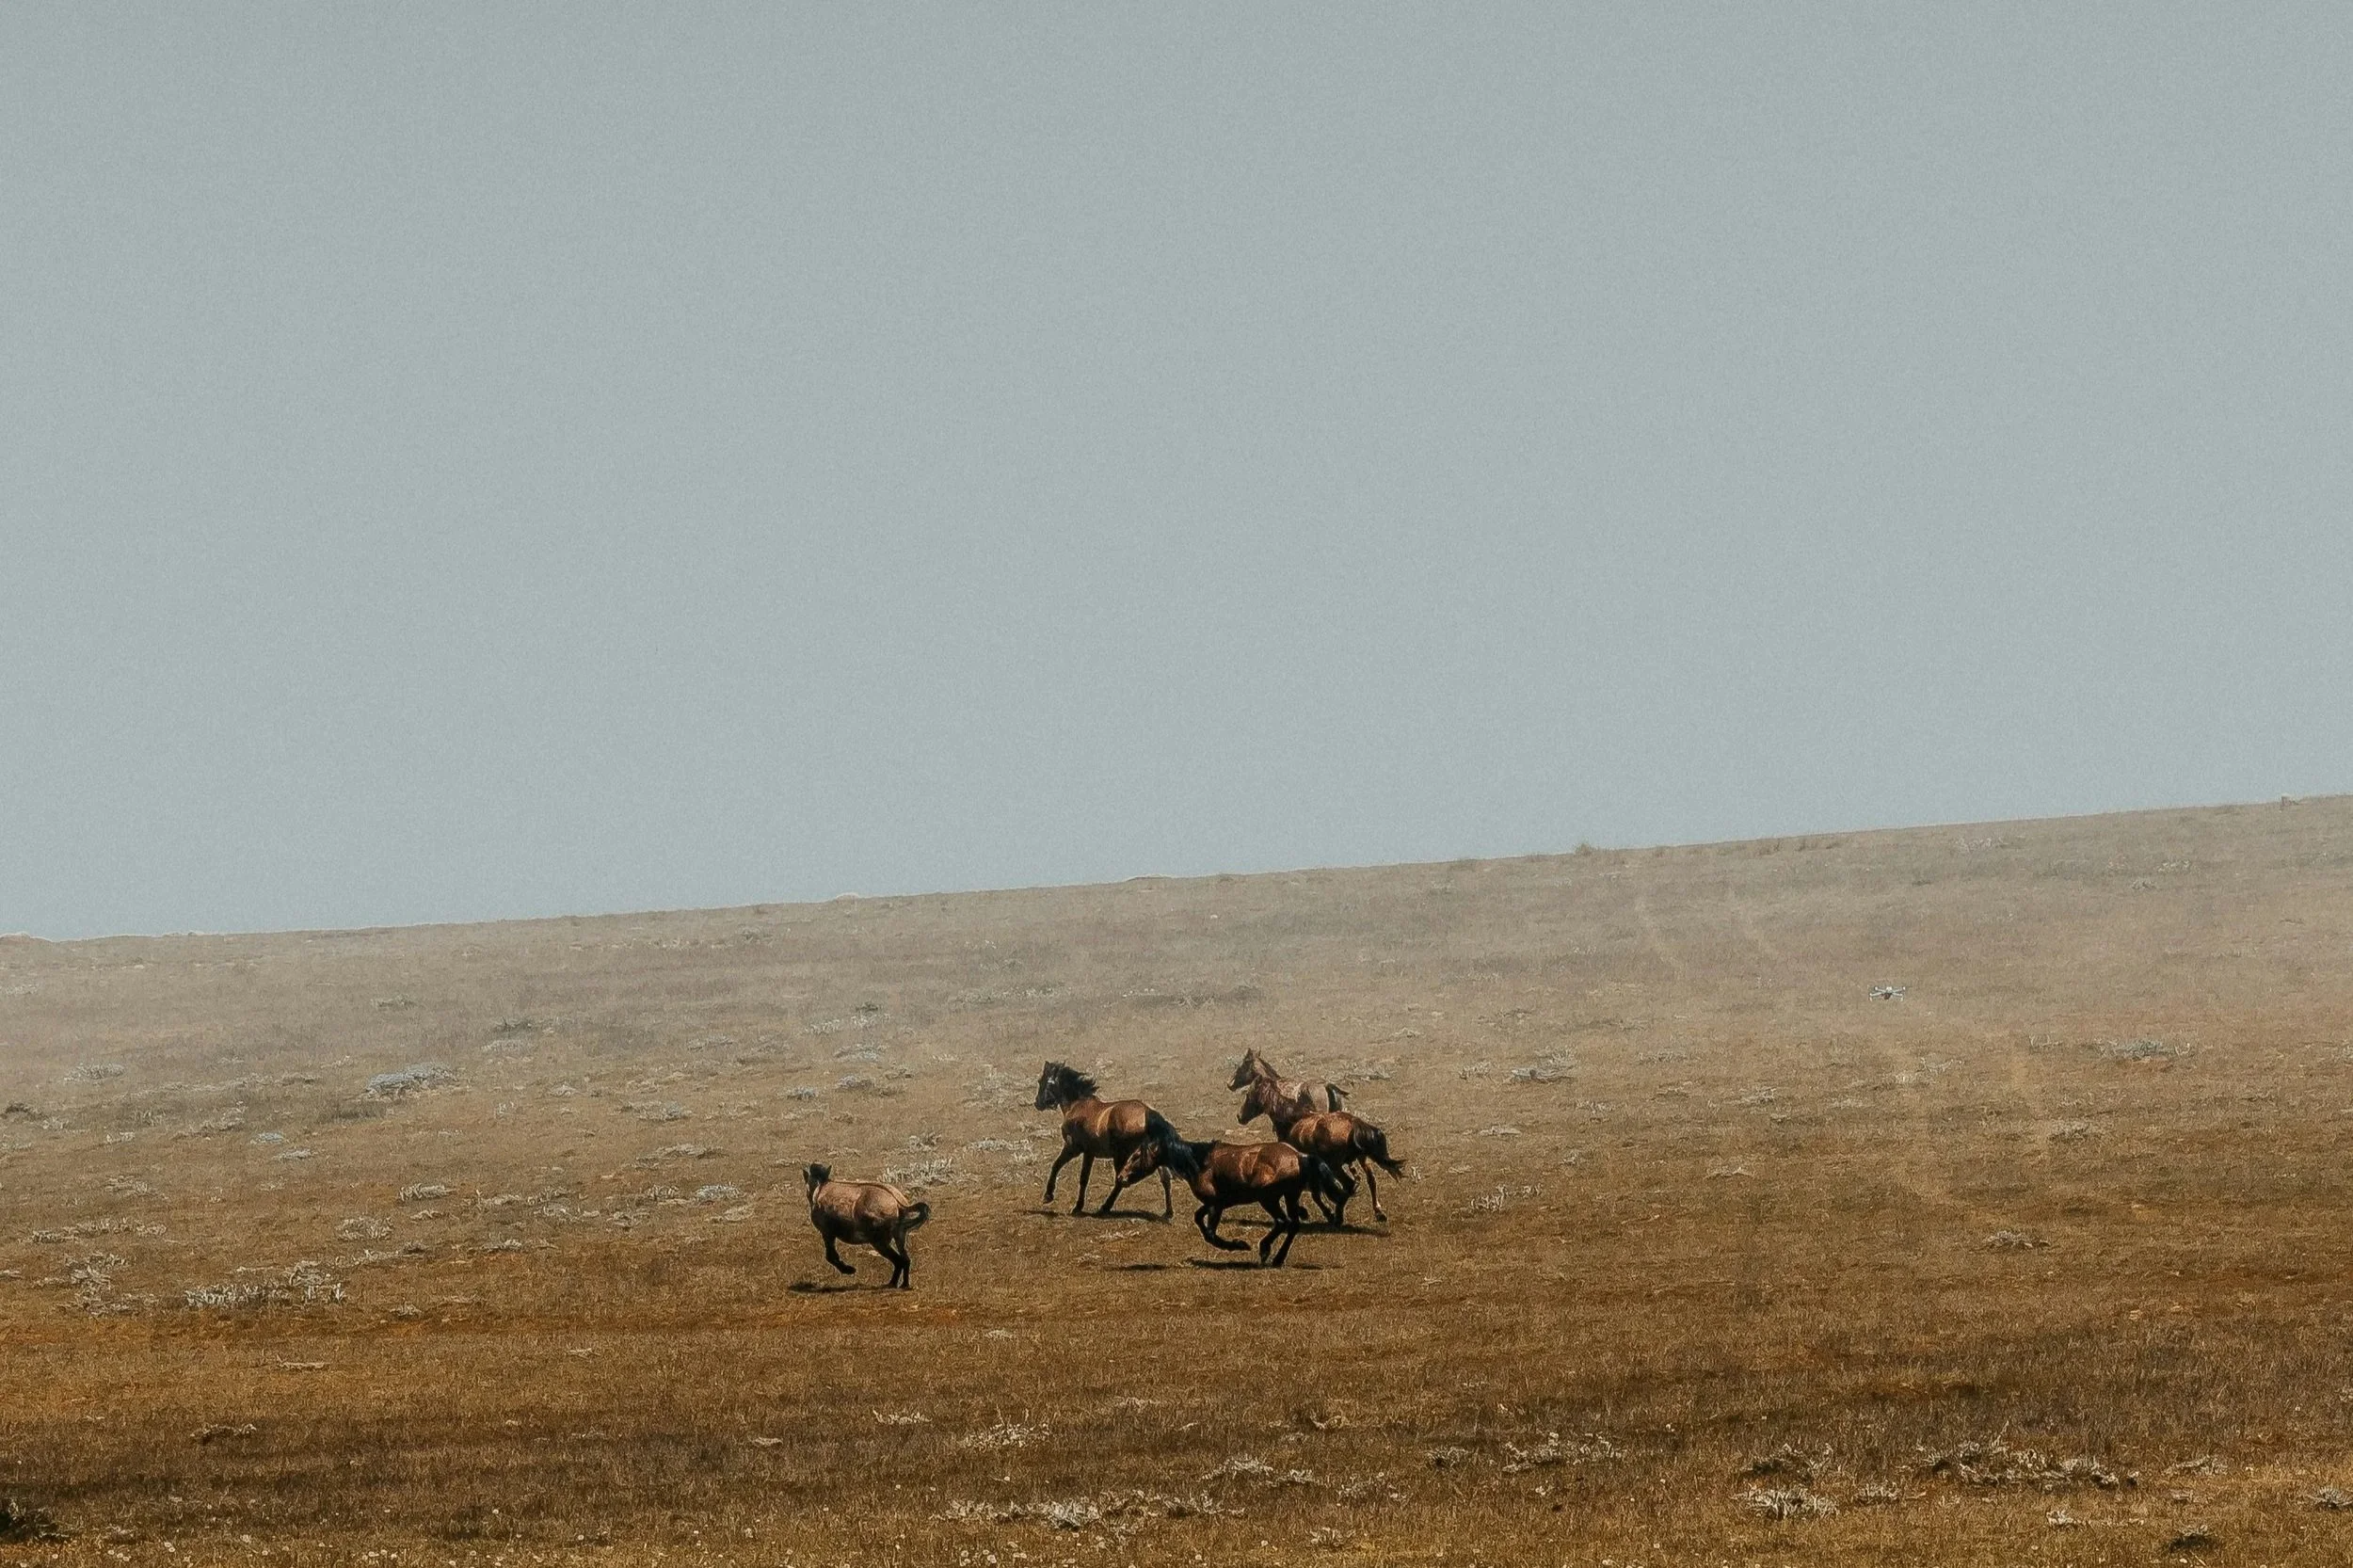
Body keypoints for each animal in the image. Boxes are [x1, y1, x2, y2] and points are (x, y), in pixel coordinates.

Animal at [803, 1163, 930, 1289]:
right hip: (900, 1236)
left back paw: (893, 1283)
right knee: (906, 1259)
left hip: (880, 1242)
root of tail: (899, 1204)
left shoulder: (827, 1233)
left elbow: (830, 1256)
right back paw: (903, 1284)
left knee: (899, 1260)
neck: (820, 1187)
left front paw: (849, 1270)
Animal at [1033, 1061, 1175, 1219]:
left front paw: (1050, 1197)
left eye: (1041, 1081)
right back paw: (1168, 1212)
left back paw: (1105, 1207)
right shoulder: (1088, 1153)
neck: (1077, 1105)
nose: (1037, 1103)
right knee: (1165, 1179)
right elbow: (1080, 1176)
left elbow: (1060, 1168)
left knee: (1120, 1181)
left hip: (1122, 1156)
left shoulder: (1075, 1148)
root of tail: (1149, 1114)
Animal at [1126, 1127, 1348, 1268]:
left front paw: (1238, 1245)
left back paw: (1265, 1250)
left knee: (1282, 1222)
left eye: (1136, 1156)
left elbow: (1211, 1233)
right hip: (1289, 1196)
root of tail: (1299, 1156)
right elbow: (1199, 1219)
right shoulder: (1217, 1202)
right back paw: (1277, 1258)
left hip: (1269, 1199)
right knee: (1292, 1224)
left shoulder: (1216, 1205)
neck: (1200, 1162)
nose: (1122, 1176)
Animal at [1239, 1076, 1405, 1224]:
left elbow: (1314, 1194)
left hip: (1336, 1165)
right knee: (1371, 1179)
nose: (1239, 1117)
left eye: (1248, 1095)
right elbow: (1316, 1194)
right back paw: (1378, 1212)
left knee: (1349, 1184)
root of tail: (1354, 1123)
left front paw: (1318, 1213)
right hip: (1362, 1157)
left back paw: (1338, 1216)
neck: (1293, 1120)